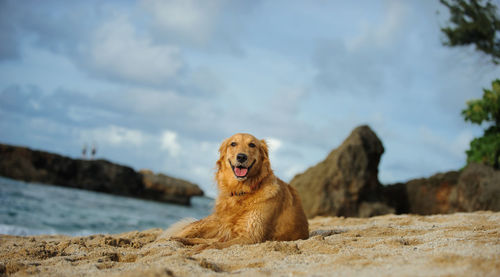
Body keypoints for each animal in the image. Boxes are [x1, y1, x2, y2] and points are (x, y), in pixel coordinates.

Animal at [169, 133, 308, 249]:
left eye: (252, 144)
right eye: (233, 144)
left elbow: (213, 244)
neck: (242, 191)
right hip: (209, 223)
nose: (241, 157)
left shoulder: (251, 236)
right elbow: (213, 242)